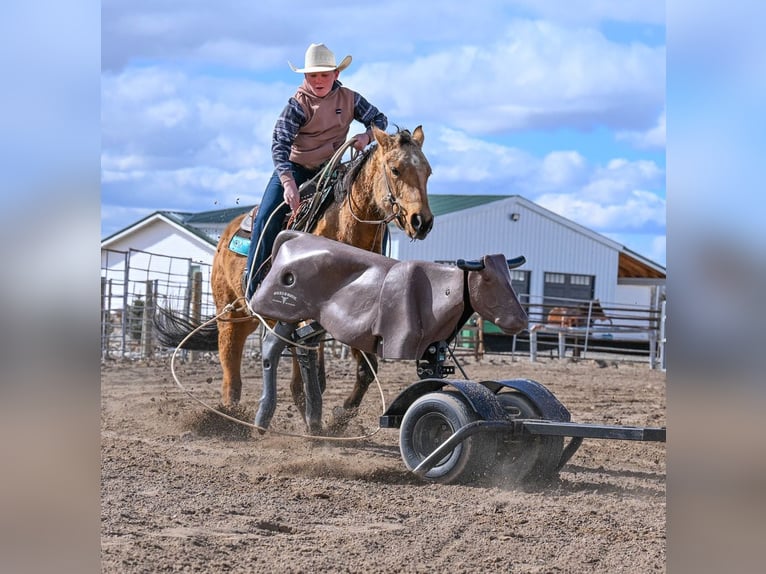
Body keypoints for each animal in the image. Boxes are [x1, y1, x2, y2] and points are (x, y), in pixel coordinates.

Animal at [155, 125, 434, 424]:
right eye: (395, 169)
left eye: (428, 172)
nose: (422, 221)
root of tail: (227, 232)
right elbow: (312, 377)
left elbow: (364, 370)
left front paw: (340, 419)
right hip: (231, 314)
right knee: (233, 376)